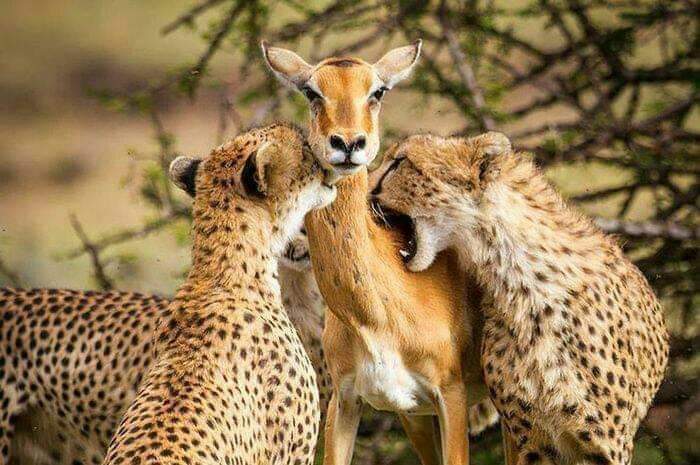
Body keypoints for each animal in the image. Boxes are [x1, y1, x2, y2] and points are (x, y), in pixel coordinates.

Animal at [263, 43, 493, 465]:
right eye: (311, 91)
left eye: (378, 90)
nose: (348, 144)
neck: (375, 316)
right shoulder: (347, 399)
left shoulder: (450, 395)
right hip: (415, 416)